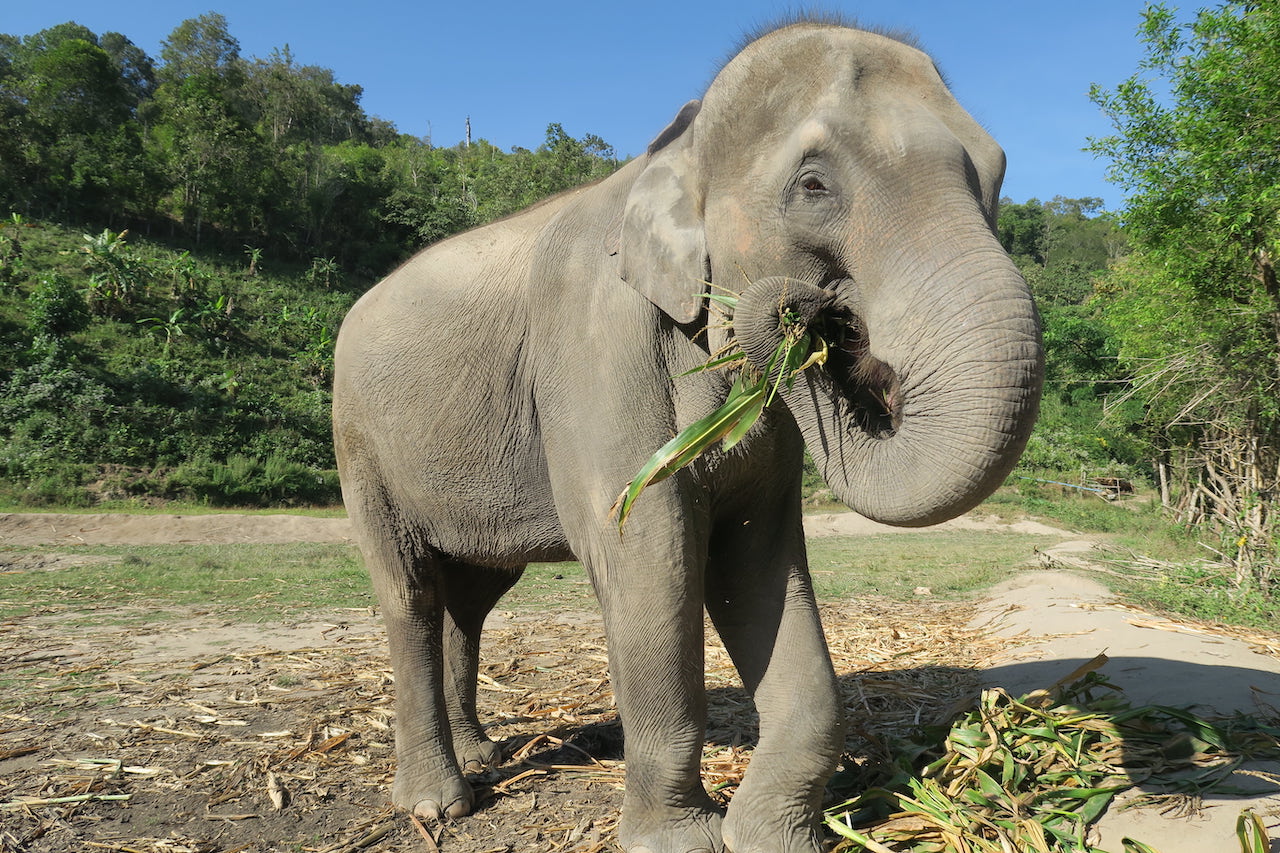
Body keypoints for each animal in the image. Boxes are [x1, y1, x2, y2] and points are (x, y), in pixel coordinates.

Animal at [332, 18, 1042, 853]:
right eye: (813, 185)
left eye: (997, 174)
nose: (801, 314)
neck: (678, 144)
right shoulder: (597, 347)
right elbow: (650, 549)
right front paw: (682, 839)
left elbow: (755, 560)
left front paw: (771, 836)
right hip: (359, 443)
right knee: (410, 591)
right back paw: (438, 804)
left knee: (469, 597)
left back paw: (479, 755)